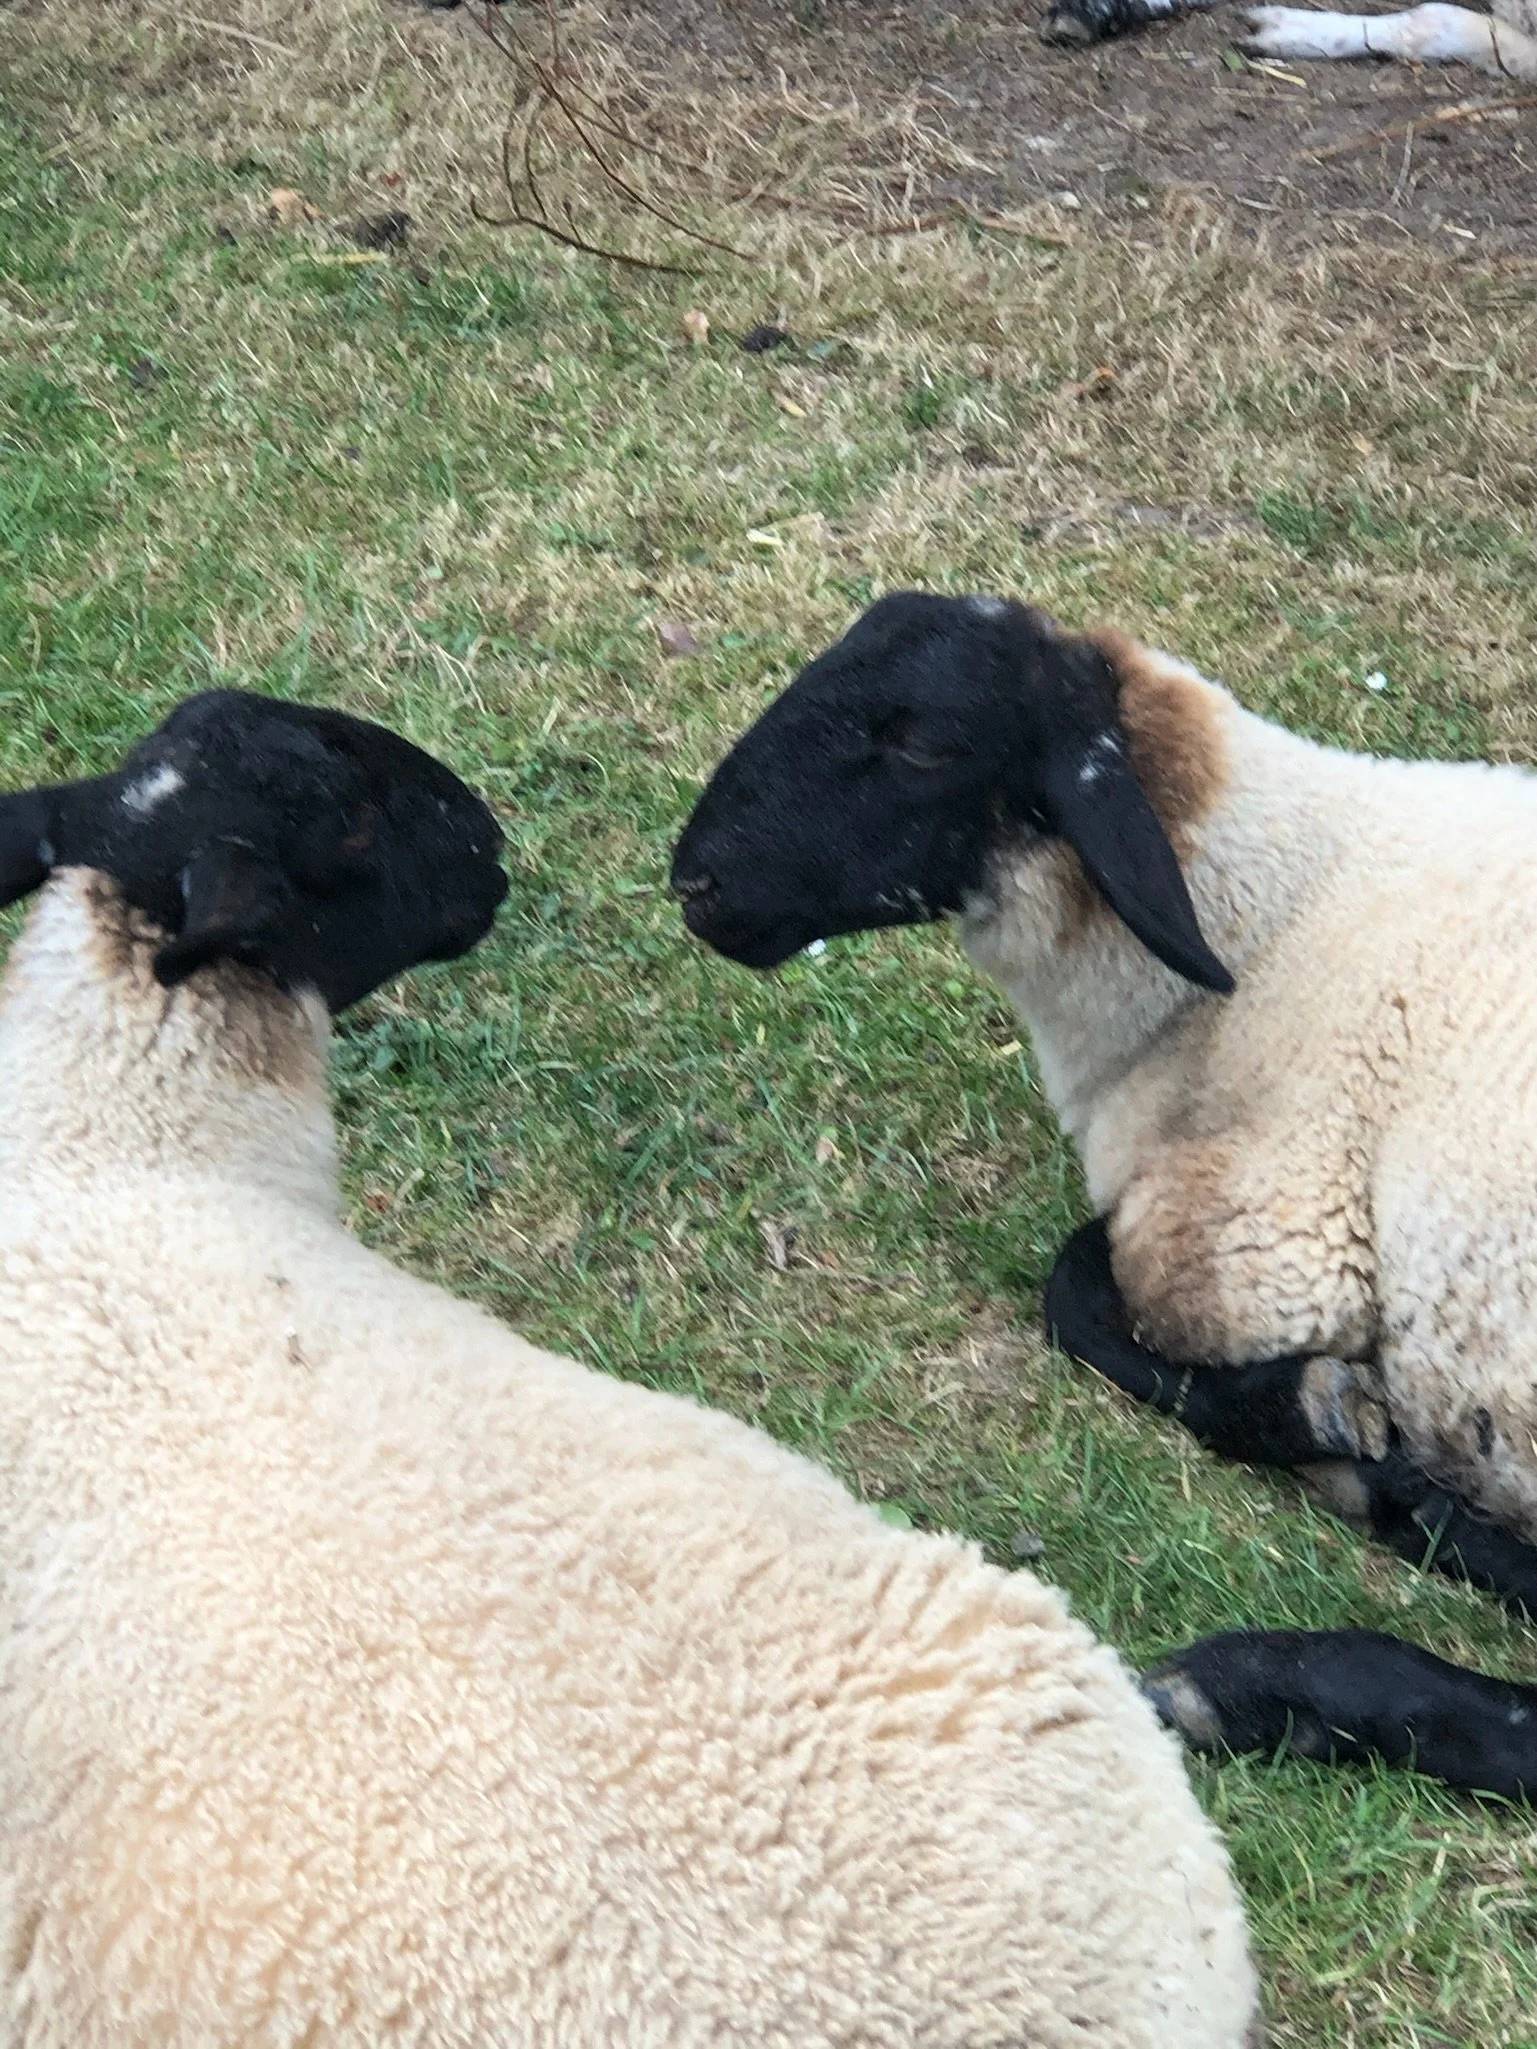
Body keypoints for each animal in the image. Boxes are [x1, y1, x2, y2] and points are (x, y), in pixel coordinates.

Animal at [671, 589, 1537, 1803]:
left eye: (925, 744)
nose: (694, 881)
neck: (1281, 904)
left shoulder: (1270, 1231)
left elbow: (1077, 1287)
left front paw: (1310, 1403)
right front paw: (1355, 1445)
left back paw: (1272, 1681)